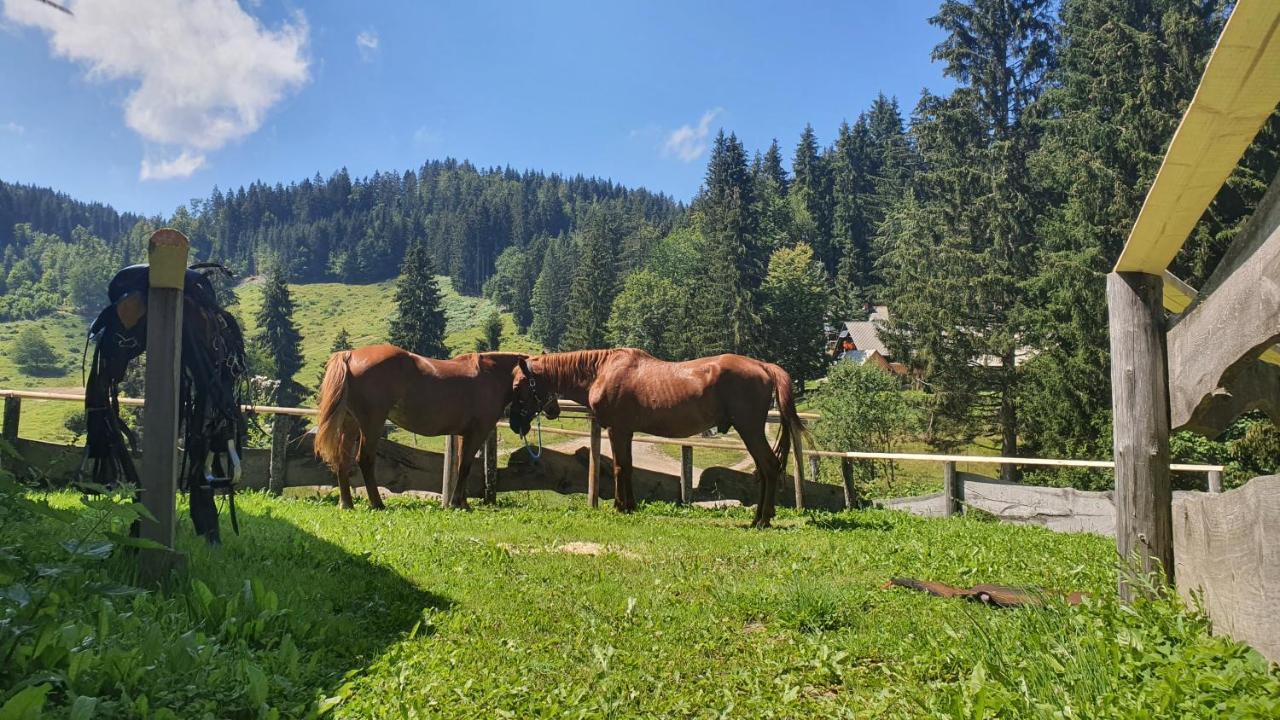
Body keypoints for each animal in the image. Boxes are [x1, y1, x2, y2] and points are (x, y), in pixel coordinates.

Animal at [313, 345, 524, 507]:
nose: (518, 424)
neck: (489, 376)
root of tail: (350, 354)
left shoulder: (463, 434)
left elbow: (460, 467)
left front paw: (460, 502)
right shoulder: (477, 433)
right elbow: (465, 466)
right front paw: (458, 504)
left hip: (351, 424)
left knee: (342, 459)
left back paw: (346, 504)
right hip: (372, 425)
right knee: (365, 459)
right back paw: (377, 503)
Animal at [506, 348, 798, 527]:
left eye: (518, 386)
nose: (514, 423)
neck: (602, 371)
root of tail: (763, 366)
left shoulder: (617, 430)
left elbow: (618, 467)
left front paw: (620, 506)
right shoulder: (626, 432)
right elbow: (628, 467)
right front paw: (630, 505)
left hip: (750, 430)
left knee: (769, 467)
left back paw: (762, 519)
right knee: (764, 470)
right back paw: (760, 517)